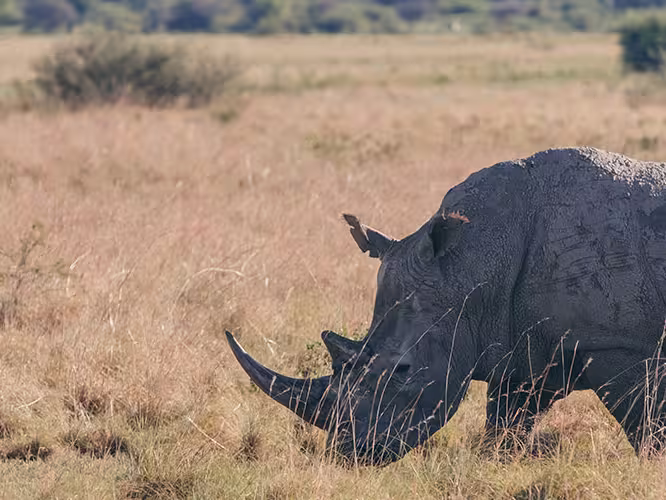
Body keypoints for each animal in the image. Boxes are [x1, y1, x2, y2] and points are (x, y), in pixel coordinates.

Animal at [226, 147, 666, 465]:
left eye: (402, 371)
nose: (349, 452)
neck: (470, 267)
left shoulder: (619, 347)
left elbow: (646, 425)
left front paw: (652, 470)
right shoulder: (522, 349)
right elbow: (505, 428)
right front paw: (496, 467)